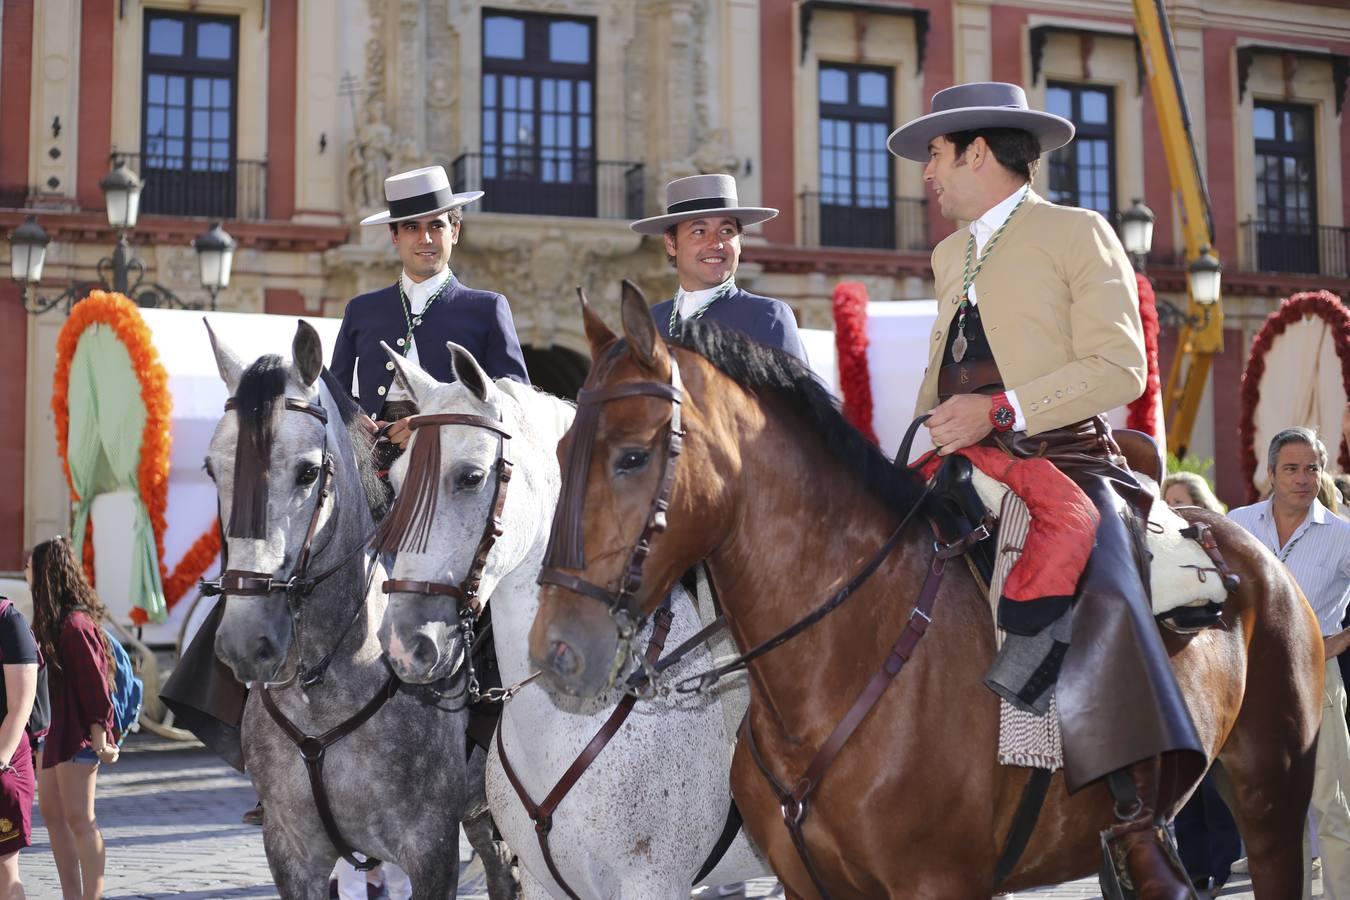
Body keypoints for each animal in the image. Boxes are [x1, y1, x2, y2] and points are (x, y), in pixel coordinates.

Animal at [526, 284, 1317, 895]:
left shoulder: (936, 882)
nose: (557, 649)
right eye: (560, 451)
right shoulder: (808, 886)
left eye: (633, 457)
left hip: (1273, 799)